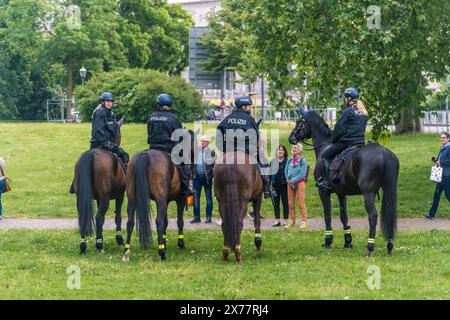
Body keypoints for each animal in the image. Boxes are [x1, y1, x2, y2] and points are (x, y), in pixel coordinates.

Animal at [73, 121, 126, 254]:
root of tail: (90, 155)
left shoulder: (97, 199)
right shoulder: (120, 196)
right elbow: (118, 216)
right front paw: (119, 239)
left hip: (82, 198)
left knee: (84, 218)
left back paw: (83, 245)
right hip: (105, 198)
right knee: (98, 218)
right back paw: (99, 245)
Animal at [123, 129, 195, 262]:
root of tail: (144, 155)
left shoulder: (165, 201)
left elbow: (167, 222)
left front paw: (164, 242)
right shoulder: (180, 200)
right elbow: (179, 221)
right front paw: (180, 243)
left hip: (132, 198)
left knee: (130, 222)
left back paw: (126, 251)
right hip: (160, 200)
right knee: (159, 222)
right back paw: (162, 253)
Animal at [288, 110, 398, 258]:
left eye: (299, 123)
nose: (291, 138)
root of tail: (384, 152)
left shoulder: (323, 192)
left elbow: (327, 216)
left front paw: (328, 241)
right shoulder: (341, 193)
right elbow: (343, 216)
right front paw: (348, 242)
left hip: (368, 193)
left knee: (373, 216)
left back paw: (370, 247)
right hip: (389, 191)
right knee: (390, 214)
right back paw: (390, 245)